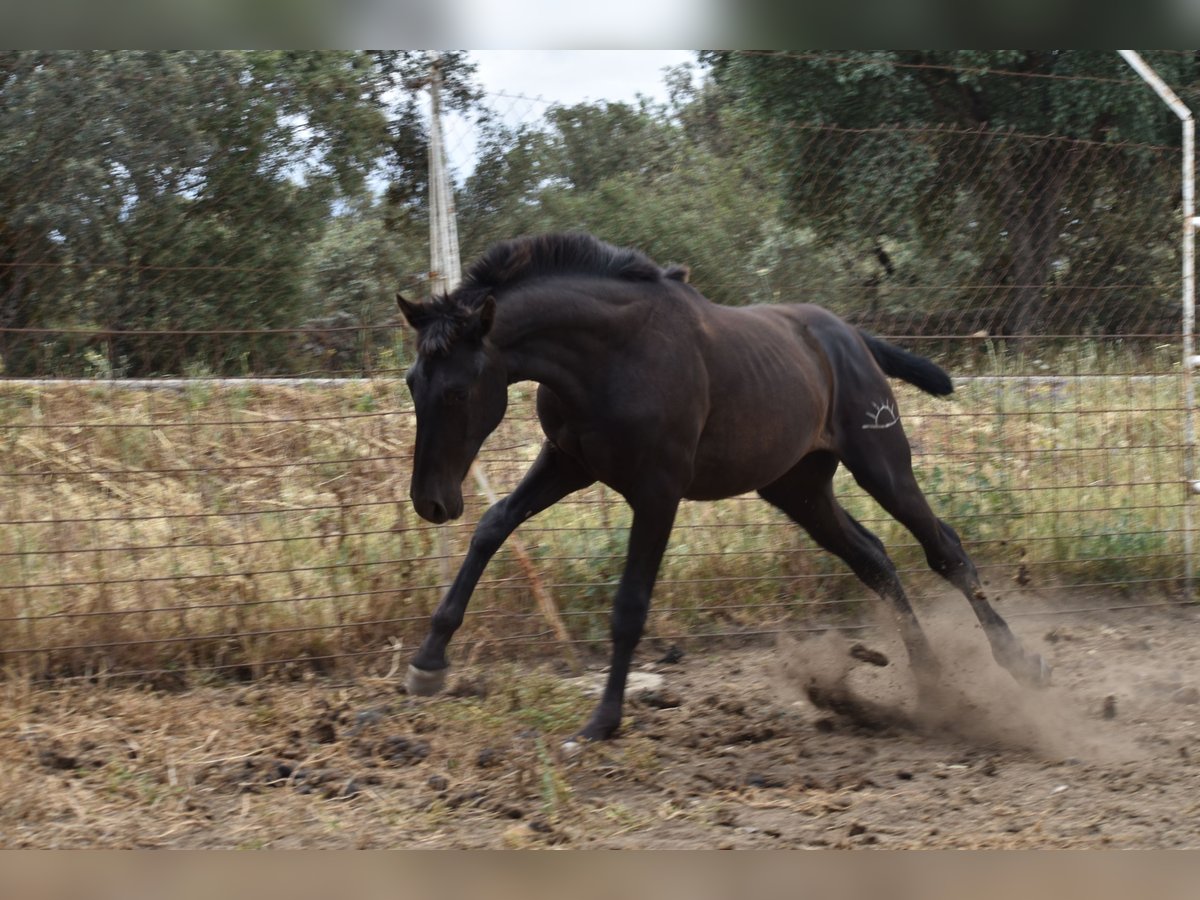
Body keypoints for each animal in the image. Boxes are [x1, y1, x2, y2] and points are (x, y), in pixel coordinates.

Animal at [396, 236, 1051, 744]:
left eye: (457, 391)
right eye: (410, 381)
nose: (432, 502)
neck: (611, 355)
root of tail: (851, 337)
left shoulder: (657, 491)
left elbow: (630, 605)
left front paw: (602, 722)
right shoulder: (567, 462)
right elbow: (493, 526)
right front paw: (428, 663)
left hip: (881, 463)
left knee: (944, 548)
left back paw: (1020, 665)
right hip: (798, 490)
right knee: (873, 557)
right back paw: (932, 682)